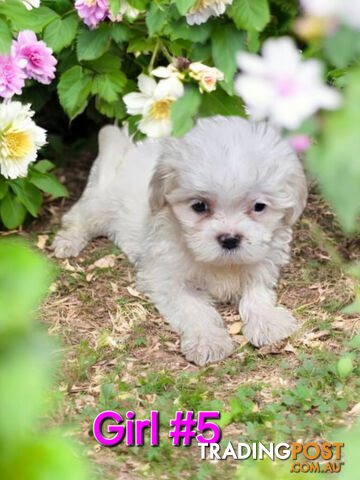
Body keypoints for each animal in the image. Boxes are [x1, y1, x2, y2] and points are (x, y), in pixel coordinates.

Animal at [53, 116, 306, 364]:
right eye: (199, 206)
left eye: (259, 206)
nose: (229, 239)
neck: (221, 263)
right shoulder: (167, 279)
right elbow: (195, 309)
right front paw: (208, 341)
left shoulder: (262, 263)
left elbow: (257, 293)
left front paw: (268, 322)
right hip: (100, 204)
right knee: (78, 217)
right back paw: (67, 241)